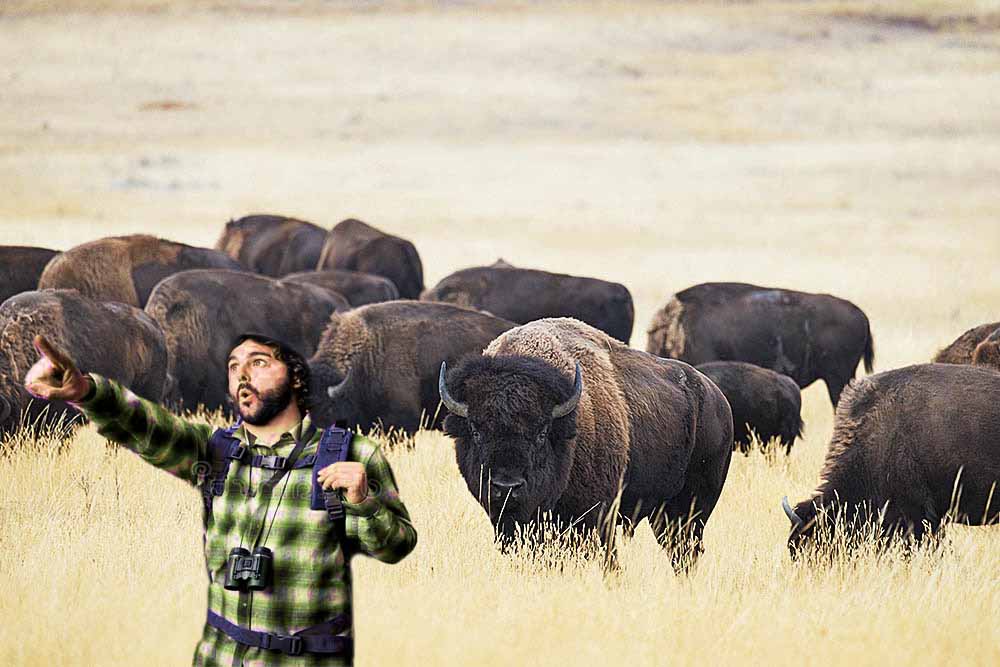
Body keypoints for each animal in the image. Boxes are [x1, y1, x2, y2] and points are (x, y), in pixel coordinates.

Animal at [439, 317, 733, 568]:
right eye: (476, 430)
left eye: (542, 432)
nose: (506, 486)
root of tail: (717, 398)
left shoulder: (595, 516)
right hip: (664, 513)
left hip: (691, 509)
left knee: (684, 550)